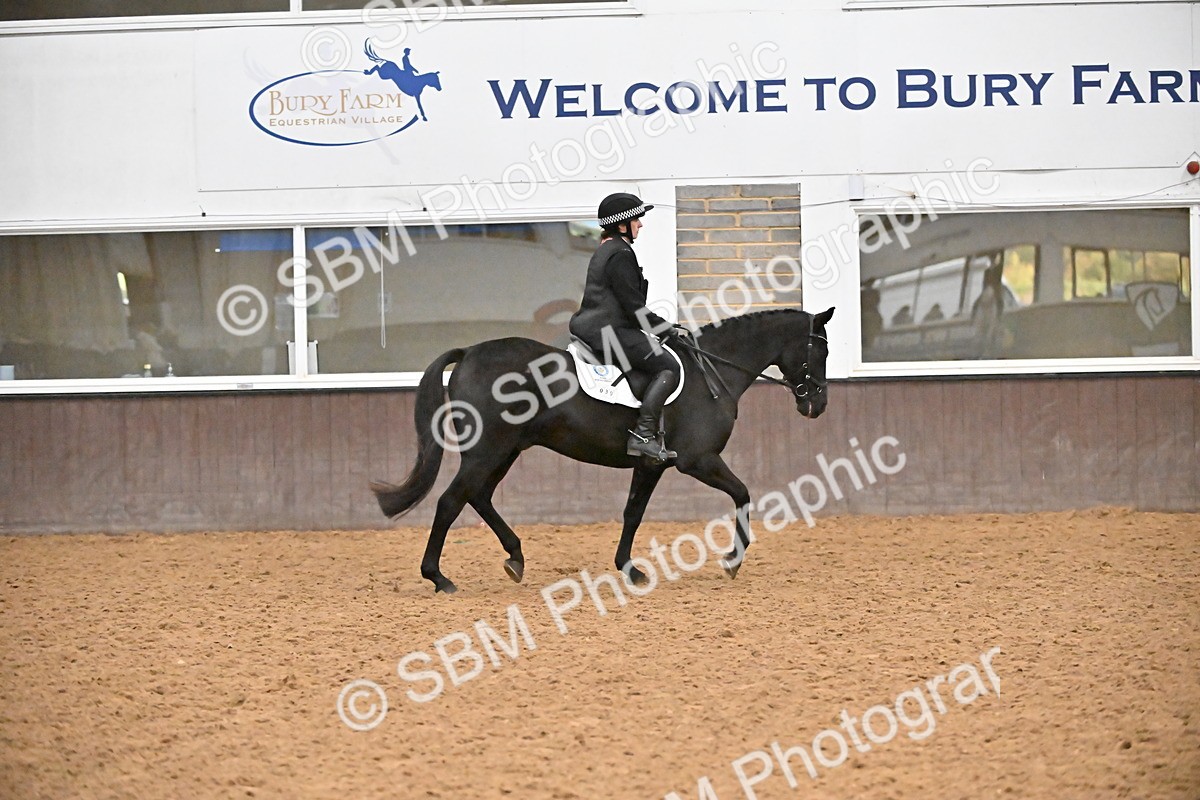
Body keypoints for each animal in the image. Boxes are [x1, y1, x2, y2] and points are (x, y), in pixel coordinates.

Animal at [370, 307, 834, 594]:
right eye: (822, 349)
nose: (817, 405)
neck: (712, 372)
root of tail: (469, 353)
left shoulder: (651, 465)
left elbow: (633, 512)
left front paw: (630, 569)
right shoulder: (698, 461)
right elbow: (742, 494)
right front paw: (732, 559)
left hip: (505, 450)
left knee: (478, 497)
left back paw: (515, 558)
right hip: (488, 451)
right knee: (451, 502)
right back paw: (439, 577)